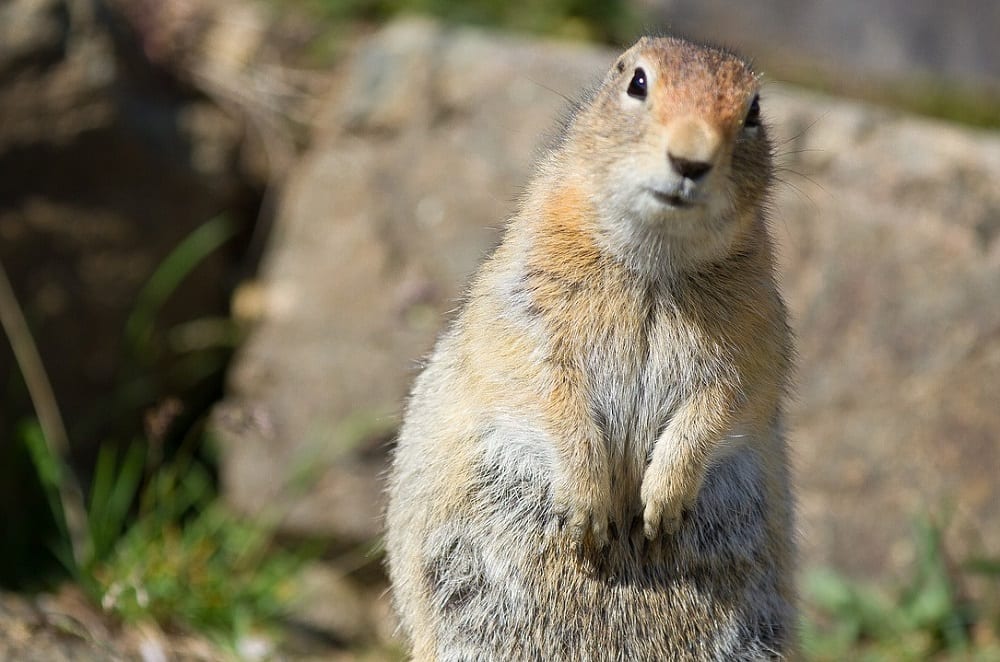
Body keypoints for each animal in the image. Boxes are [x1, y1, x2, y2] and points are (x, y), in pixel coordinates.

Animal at [382, 33, 796, 660]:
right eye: (638, 82)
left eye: (753, 111)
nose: (691, 160)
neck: (656, 262)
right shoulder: (524, 308)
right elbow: (544, 387)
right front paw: (592, 507)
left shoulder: (758, 336)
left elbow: (724, 402)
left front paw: (660, 507)